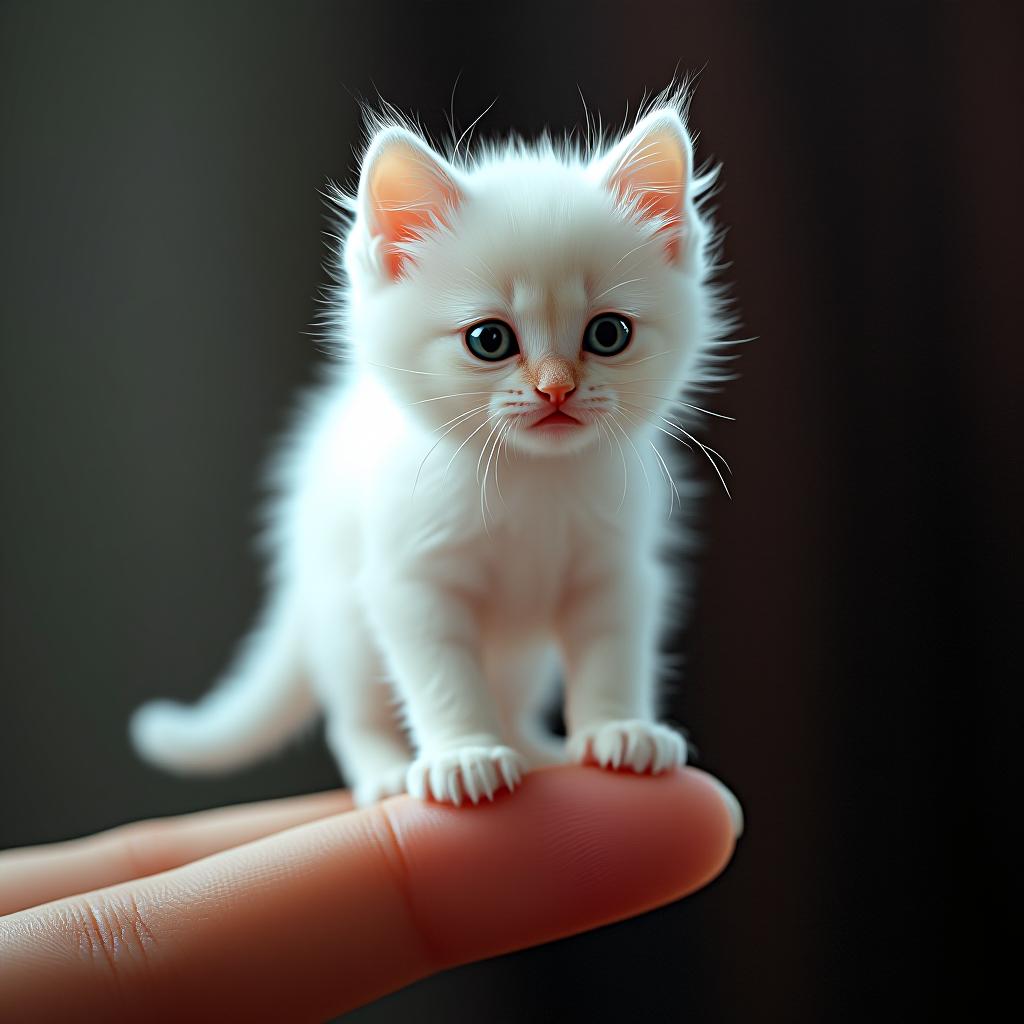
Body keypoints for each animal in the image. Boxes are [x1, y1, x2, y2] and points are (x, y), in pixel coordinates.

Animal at [130, 90, 737, 806]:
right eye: (490, 340)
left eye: (609, 333)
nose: (556, 388)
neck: (531, 480)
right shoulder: (409, 580)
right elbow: (442, 673)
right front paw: (463, 753)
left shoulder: (614, 569)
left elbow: (611, 648)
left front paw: (619, 729)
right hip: (343, 615)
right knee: (354, 711)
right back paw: (386, 770)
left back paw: (533, 745)